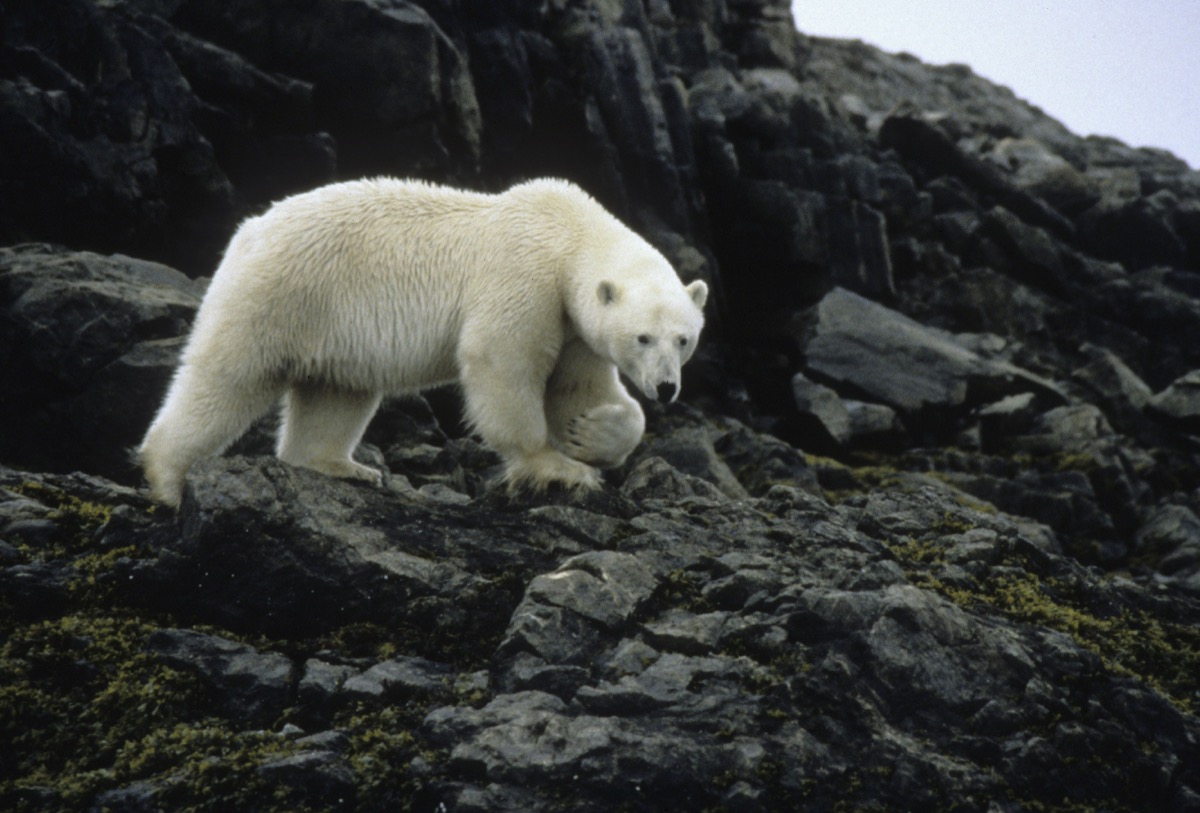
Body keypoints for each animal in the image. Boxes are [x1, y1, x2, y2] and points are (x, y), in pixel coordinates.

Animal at [137, 178, 705, 508]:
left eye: (684, 339)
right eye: (642, 337)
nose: (666, 388)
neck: (569, 235)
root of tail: (248, 231)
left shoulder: (572, 325)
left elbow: (577, 389)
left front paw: (590, 434)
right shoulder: (525, 278)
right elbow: (501, 362)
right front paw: (556, 468)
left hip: (333, 325)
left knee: (336, 393)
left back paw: (343, 466)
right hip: (281, 293)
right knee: (227, 374)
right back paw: (167, 479)